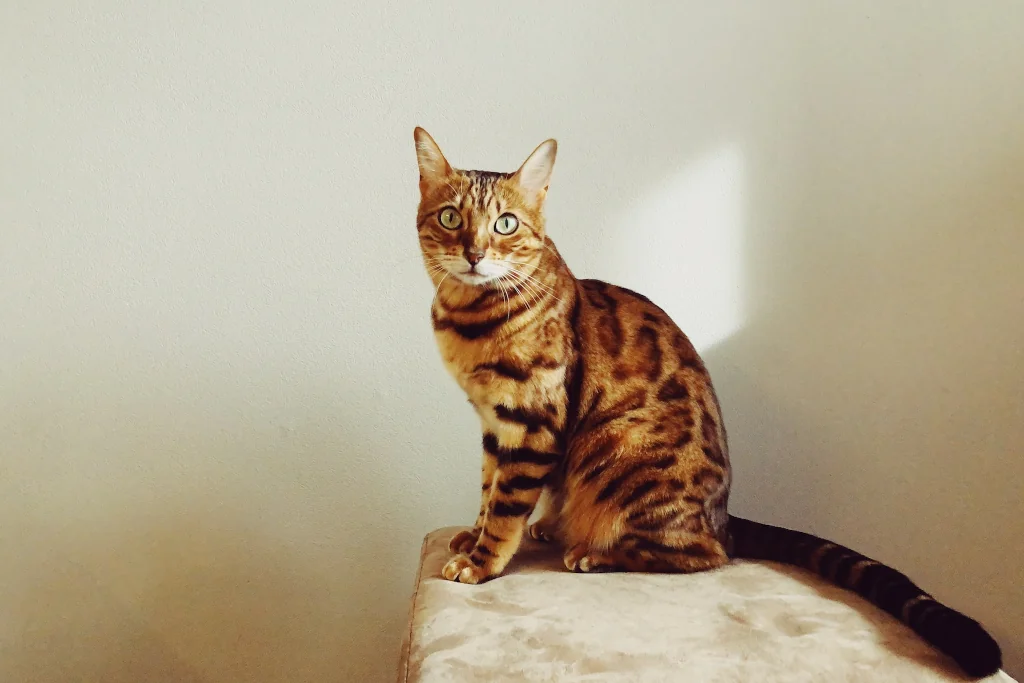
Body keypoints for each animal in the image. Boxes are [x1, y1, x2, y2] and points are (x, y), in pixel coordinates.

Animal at [413, 126, 999, 679]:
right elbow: (488, 488)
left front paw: (482, 562)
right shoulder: (494, 423)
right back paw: (554, 525)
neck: (469, 321)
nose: (474, 254)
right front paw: (471, 536)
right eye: (450, 217)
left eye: (505, 224)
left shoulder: (531, 420)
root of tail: (723, 515)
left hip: (618, 449)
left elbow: (506, 504)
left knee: (704, 554)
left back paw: (591, 551)